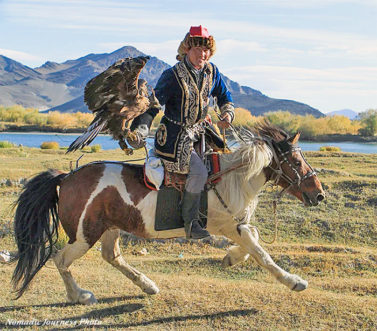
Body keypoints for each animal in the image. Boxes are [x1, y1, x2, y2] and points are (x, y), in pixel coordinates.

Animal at [11, 123, 324, 304]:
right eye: (297, 161)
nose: (319, 194)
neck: (232, 178)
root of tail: (66, 177)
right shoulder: (226, 225)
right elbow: (261, 253)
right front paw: (294, 282)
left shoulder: (237, 225)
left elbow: (254, 240)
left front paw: (231, 258)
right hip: (84, 235)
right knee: (60, 259)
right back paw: (80, 295)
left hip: (109, 228)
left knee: (112, 256)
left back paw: (148, 285)